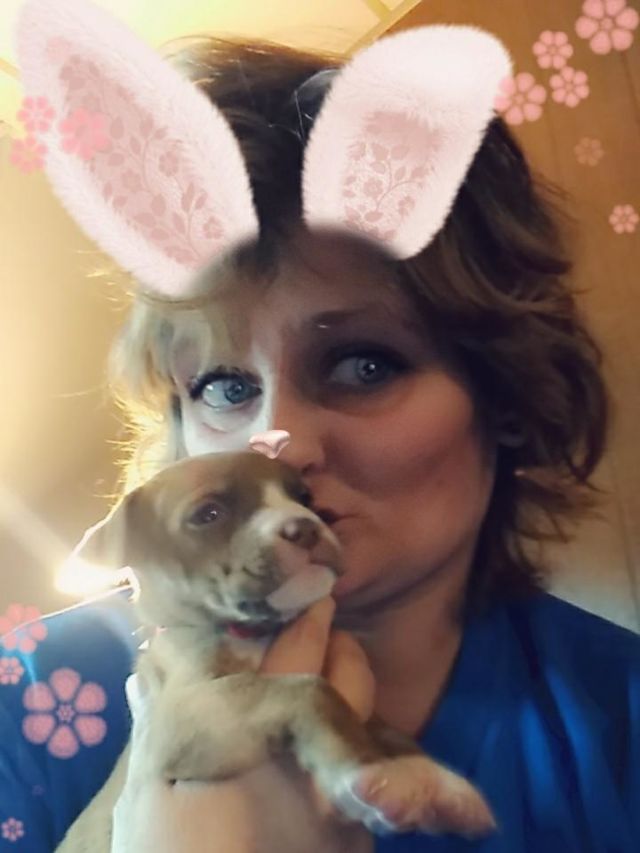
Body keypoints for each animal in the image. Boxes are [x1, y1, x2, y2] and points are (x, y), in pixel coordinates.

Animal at [55, 450, 497, 851]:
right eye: (209, 514)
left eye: (305, 497)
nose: (305, 526)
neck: (255, 633)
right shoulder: (181, 717)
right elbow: (308, 690)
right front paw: (362, 769)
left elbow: (384, 727)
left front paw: (433, 782)